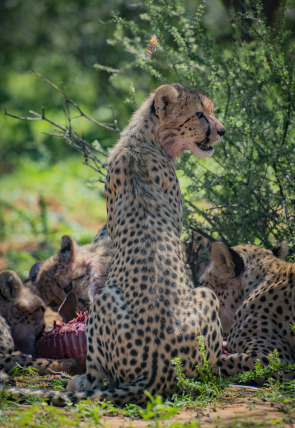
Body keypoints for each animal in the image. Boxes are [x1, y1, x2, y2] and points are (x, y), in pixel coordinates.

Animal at [1, 83, 224, 404]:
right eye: (199, 114)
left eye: (211, 111)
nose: (222, 131)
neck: (144, 140)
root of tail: (159, 371)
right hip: (175, 297)